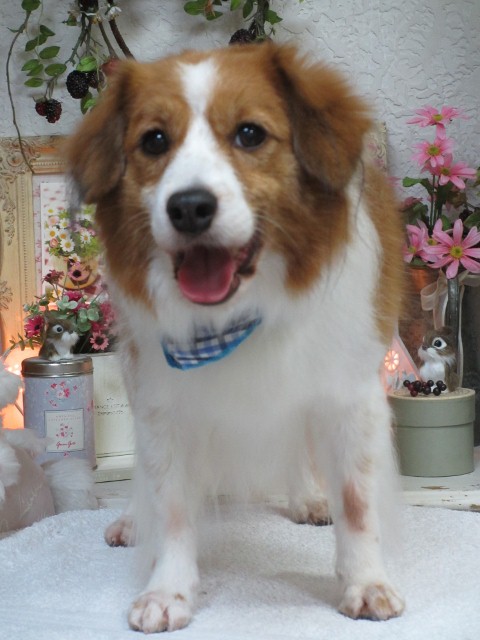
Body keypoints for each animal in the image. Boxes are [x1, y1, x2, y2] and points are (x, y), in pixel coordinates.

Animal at [65, 42, 405, 633]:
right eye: (154, 141)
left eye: (250, 134)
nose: (189, 206)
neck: (242, 316)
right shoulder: (162, 405)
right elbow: (171, 506)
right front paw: (168, 589)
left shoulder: (347, 397)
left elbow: (357, 503)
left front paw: (365, 581)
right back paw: (133, 519)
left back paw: (306, 497)